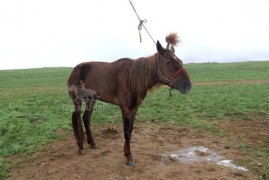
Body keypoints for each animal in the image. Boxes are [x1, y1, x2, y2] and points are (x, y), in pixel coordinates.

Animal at [68, 32, 192, 166]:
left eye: (180, 61)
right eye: (169, 62)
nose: (187, 84)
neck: (132, 78)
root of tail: (75, 70)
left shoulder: (134, 108)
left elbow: (130, 131)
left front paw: (128, 154)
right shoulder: (125, 108)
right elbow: (126, 131)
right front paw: (128, 157)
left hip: (91, 99)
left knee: (86, 118)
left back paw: (92, 143)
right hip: (78, 100)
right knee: (77, 118)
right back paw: (81, 147)